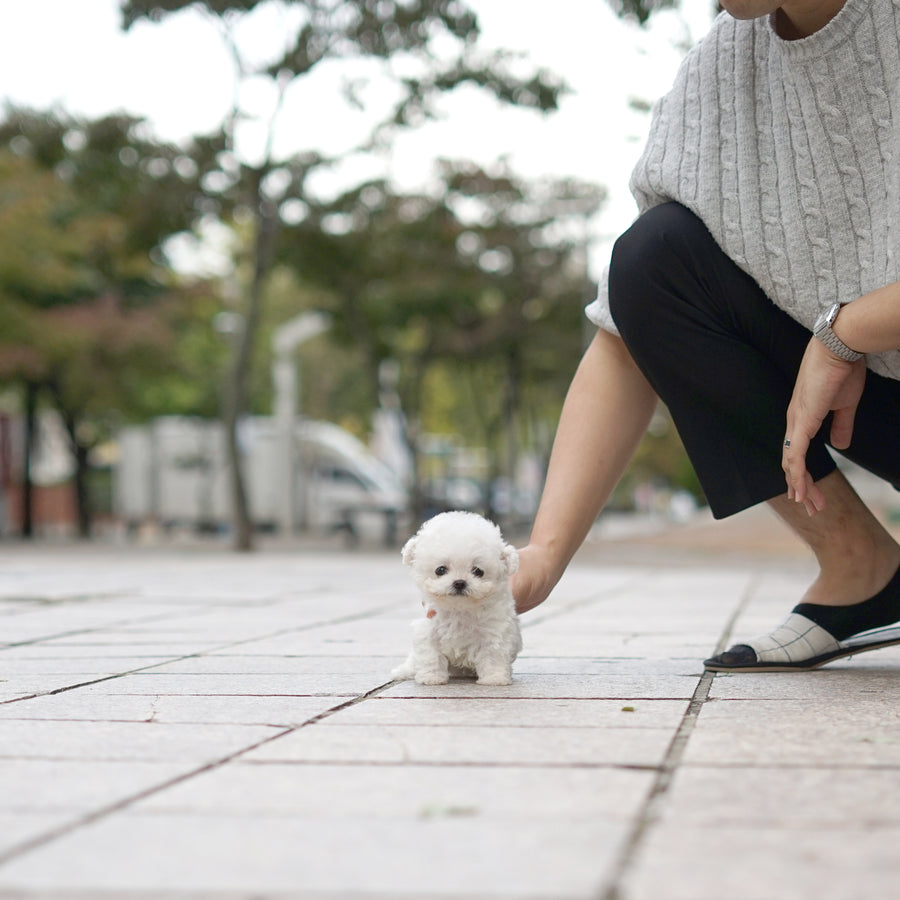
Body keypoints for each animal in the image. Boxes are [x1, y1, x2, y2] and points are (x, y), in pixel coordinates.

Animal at [390, 510, 524, 684]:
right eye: (440, 570)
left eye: (478, 571)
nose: (459, 582)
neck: (460, 609)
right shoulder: (428, 630)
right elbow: (431, 656)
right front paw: (431, 677)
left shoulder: (494, 632)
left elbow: (493, 656)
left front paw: (494, 678)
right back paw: (403, 671)